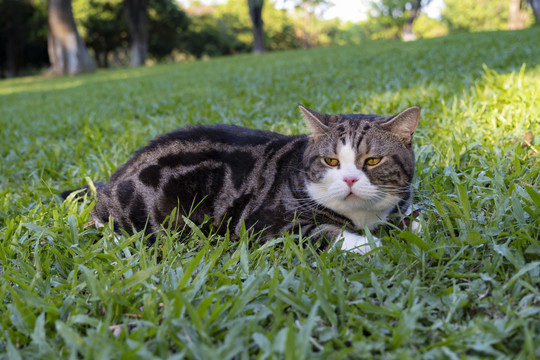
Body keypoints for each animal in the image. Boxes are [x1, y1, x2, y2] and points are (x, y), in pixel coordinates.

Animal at [63, 105, 420, 255]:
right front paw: (374, 244)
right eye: (331, 161)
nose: (348, 180)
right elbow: (329, 233)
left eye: (372, 160)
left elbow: (412, 218)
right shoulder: (265, 223)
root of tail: (115, 177)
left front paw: (409, 226)